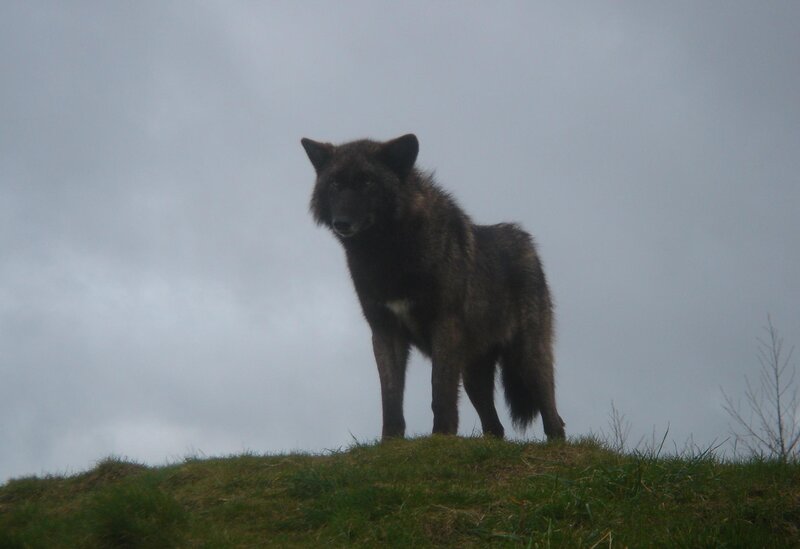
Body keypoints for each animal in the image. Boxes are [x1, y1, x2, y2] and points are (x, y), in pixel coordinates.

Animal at [301, 133, 565, 440]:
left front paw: (441, 437)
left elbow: (439, 392)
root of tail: (527, 244)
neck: (390, 253)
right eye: (335, 184)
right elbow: (390, 397)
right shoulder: (385, 332)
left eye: (367, 182)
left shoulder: (444, 326)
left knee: (553, 416)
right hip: (473, 376)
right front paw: (391, 441)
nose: (341, 222)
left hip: (528, 359)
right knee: (495, 426)